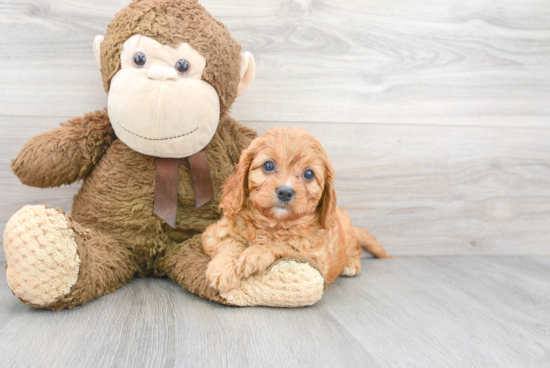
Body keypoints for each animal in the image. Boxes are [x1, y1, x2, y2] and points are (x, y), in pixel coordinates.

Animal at [204, 128, 392, 292]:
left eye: (308, 174)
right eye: (268, 165)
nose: (285, 192)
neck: (274, 224)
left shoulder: (316, 258)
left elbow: (285, 244)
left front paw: (255, 254)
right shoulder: (213, 235)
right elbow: (231, 242)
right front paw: (223, 269)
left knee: (356, 250)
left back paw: (351, 264)